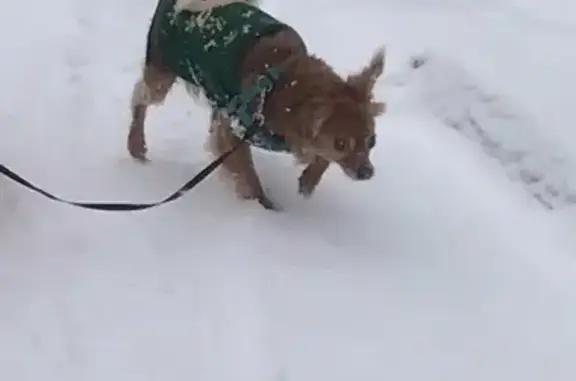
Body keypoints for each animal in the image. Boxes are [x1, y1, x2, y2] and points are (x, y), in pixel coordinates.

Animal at [126, 0, 388, 211]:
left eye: (372, 141)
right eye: (340, 144)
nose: (367, 172)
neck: (282, 83)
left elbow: (320, 158)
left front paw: (308, 181)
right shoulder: (230, 130)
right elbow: (249, 177)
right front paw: (265, 209)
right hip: (161, 72)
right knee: (139, 99)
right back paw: (136, 145)